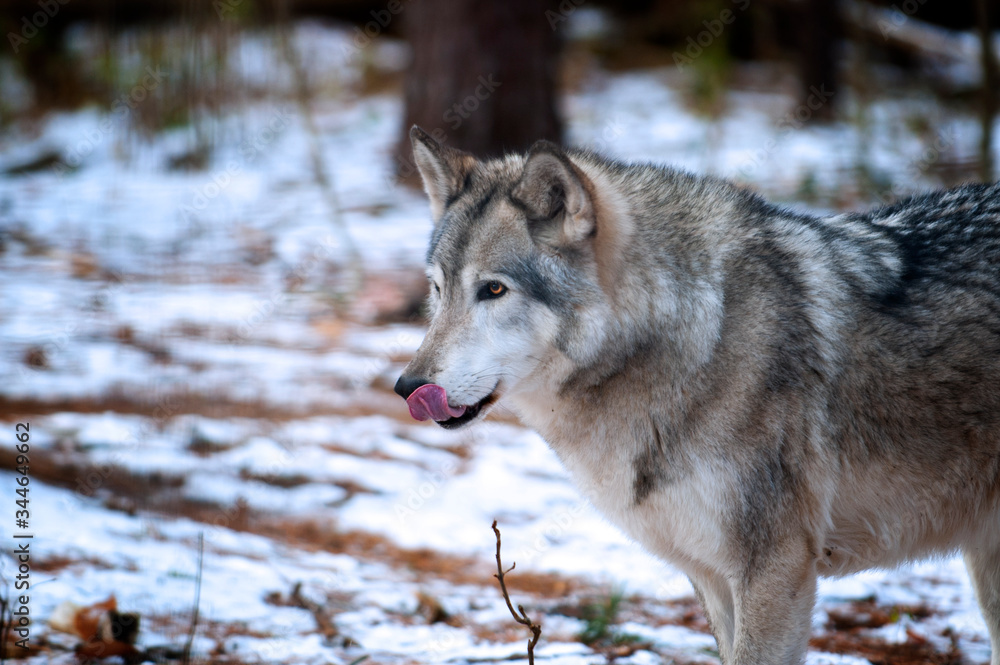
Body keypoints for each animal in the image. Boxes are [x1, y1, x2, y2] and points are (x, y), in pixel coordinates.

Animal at [394, 125, 1000, 665]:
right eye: (438, 289)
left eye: (493, 289)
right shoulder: (710, 575)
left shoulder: (775, 570)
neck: (690, 340)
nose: (407, 387)